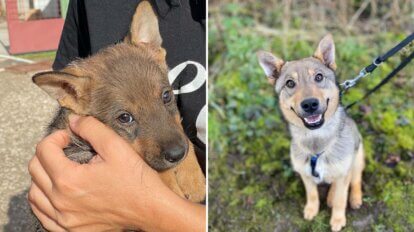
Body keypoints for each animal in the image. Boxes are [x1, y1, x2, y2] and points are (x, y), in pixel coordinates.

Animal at [31, 1, 206, 230]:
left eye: (167, 95)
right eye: (125, 118)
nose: (177, 154)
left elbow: (184, 136)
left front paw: (192, 178)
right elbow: (153, 166)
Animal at [256, 33, 366, 231]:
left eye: (319, 77)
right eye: (290, 83)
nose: (309, 104)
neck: (317, 142)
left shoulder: (344, 170)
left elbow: (341, 198)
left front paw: (337, 220)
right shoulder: (305, 174)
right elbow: (313, 194)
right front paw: (311, 210)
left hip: (357, 157)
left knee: (354, 180)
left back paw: (354, 198)